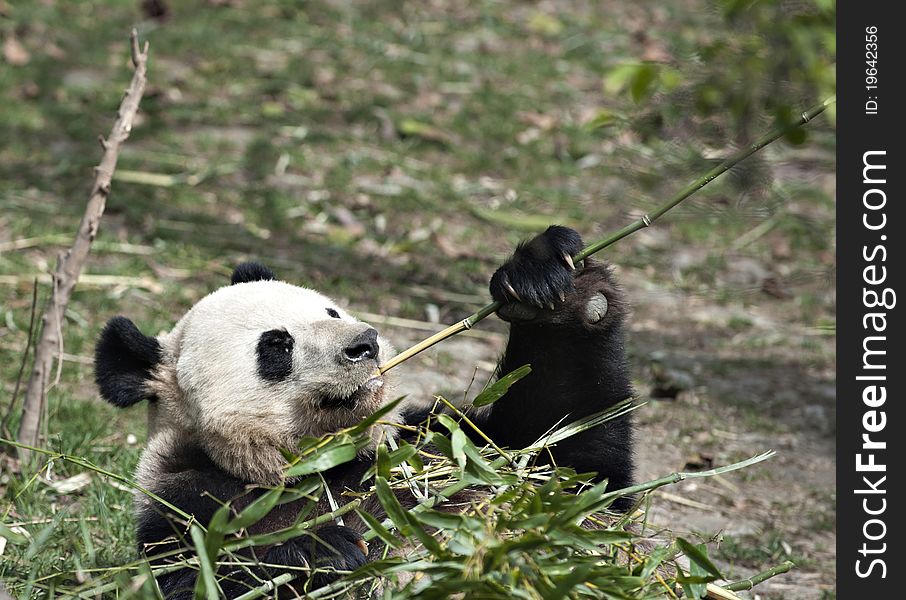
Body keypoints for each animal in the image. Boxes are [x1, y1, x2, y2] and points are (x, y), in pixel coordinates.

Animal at [92, 225, 628, 596]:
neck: (314, 465)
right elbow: (208, 579)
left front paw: (548, 282)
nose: (364, 343)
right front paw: (324, 552)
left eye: (331, 311)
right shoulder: (181, 508)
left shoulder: (434, 443)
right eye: (277, 345)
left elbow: (563, 464)